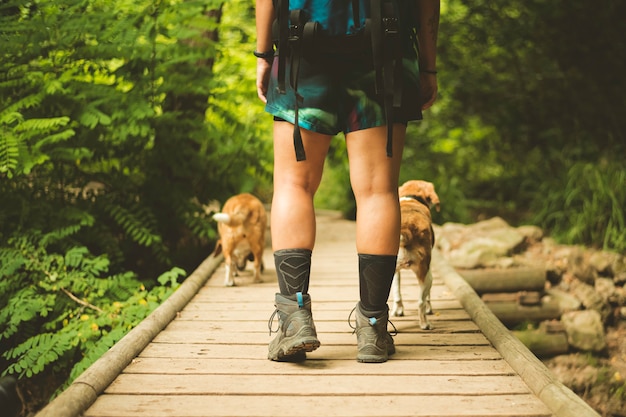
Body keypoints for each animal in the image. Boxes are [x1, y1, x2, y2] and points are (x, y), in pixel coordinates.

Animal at [390, 179, 438, 328]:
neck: (411, 198)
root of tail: (407, 230)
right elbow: (427, 298)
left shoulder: (395, 273)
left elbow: (397, 292)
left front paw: (398, 310)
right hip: (427, 276)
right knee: (421, 302)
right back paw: (425, 324)